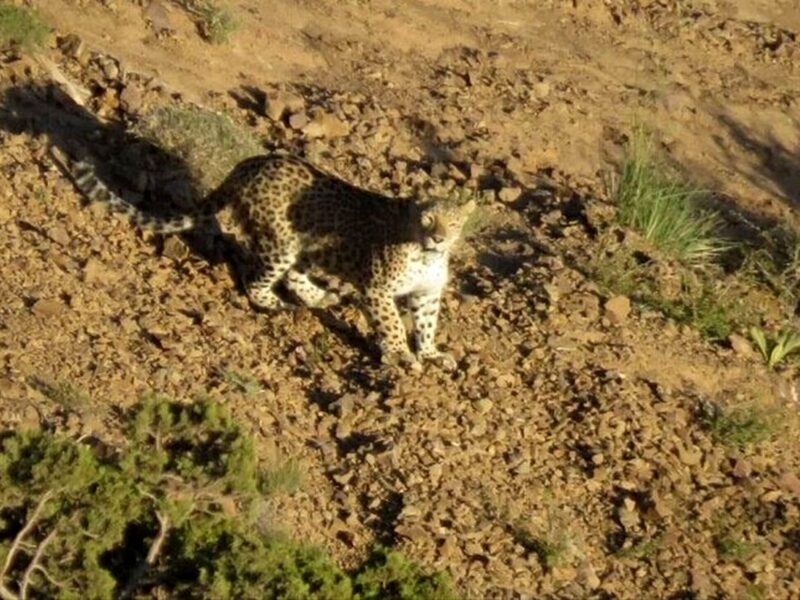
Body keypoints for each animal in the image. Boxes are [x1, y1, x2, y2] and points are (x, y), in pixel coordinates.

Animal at [51, 146, 476, 370]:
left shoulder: (426, 294)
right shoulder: (378, 289)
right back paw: (276, 303)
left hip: (301, 245)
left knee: (293, 275)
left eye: (453, 223)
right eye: (427, 219)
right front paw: (402, 355)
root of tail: (250, 162)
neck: (427, 256)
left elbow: (426, 323)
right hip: (280, 241)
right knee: (256, 279)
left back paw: (318, 297)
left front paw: (431, 352)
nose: (437, 237)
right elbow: (390, 323)